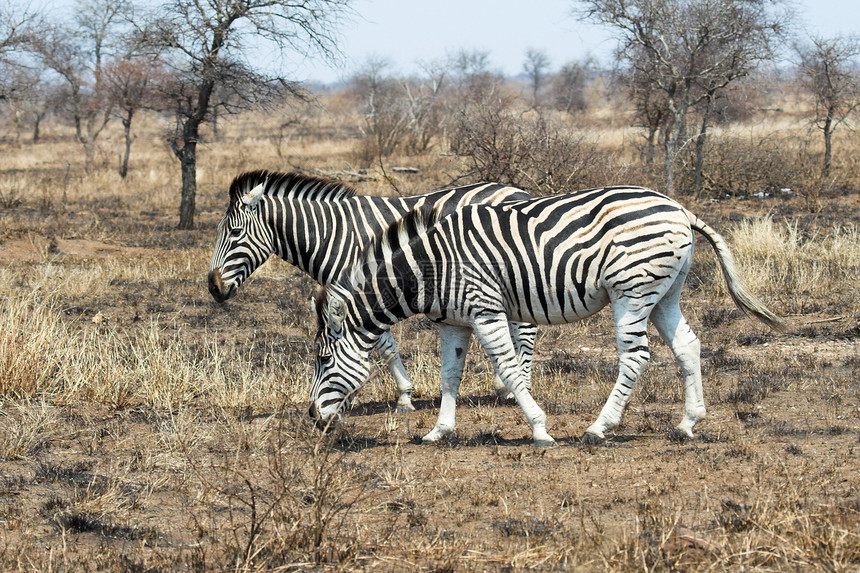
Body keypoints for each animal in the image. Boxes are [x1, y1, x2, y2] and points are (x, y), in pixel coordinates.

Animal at [205, 170, 536, 412]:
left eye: (235, 232)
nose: (213, 287)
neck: (331, 235)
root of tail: (521, 192)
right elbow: (380, 345)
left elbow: (382, 346)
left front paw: (401, 397)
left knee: (525, 329)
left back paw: (516, 386)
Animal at [308, 185, 788, 444]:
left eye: (324, 360)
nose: (313, 418)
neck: (433, 267)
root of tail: (679, 207)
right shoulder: (454, 322)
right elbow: (450, 375)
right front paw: (438, 431)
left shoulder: (486, 308)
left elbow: (509, 367)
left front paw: (539, 429)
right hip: (665, 292)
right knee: (688, 345)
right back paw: (687, 424)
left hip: (632, 291)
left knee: (636, 357)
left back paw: (599, 428)